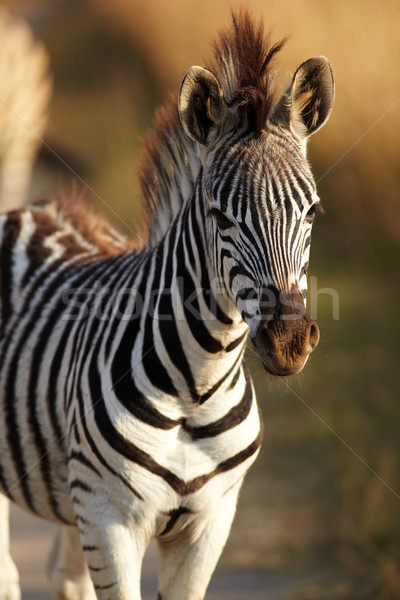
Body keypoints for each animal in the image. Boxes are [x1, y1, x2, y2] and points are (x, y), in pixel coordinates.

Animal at [0, 9, 332, 600]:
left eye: (311, 211)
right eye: (220, 216)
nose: (289, 342)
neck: (196, 389)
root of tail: (25, 210)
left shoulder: (210, 522)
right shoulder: (108, 518)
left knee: (64, 578)